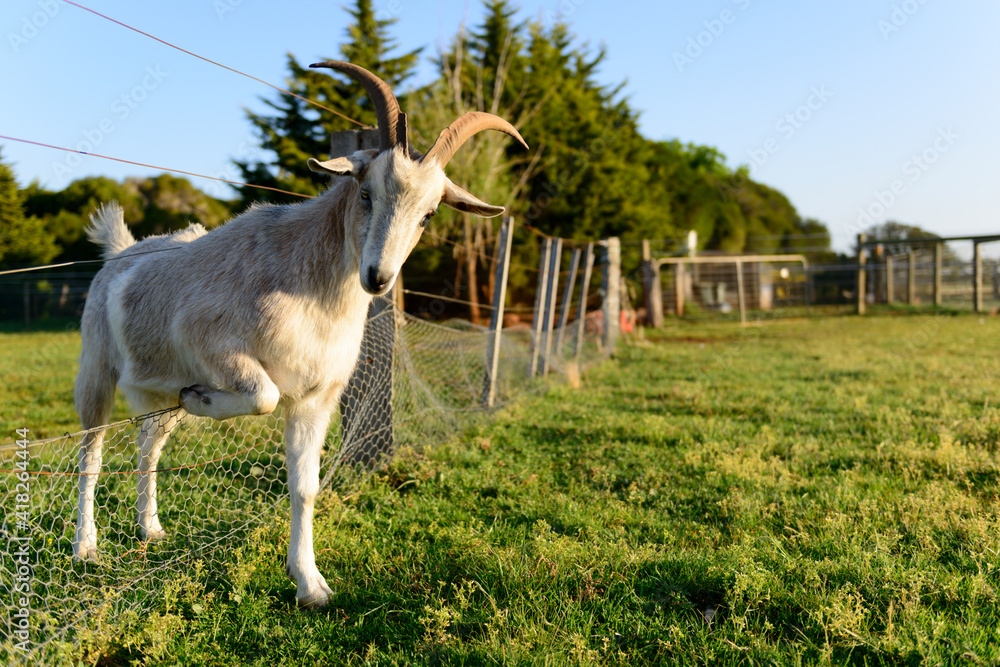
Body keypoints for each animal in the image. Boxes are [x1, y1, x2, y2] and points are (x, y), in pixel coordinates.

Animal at [73, 61, 527, 609]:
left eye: (429, 214)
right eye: (366, 192)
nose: (378, 277)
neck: (310, 289)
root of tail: (120, 251)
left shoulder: (316, 398)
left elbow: (305, 487)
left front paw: (310, 584)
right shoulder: (212, 344)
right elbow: (264, 395)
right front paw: (205, 398)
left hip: (158, 394)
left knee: (148, 446)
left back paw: (151, 527)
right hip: (96, 369)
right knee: (91, 454)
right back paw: (86, 547)